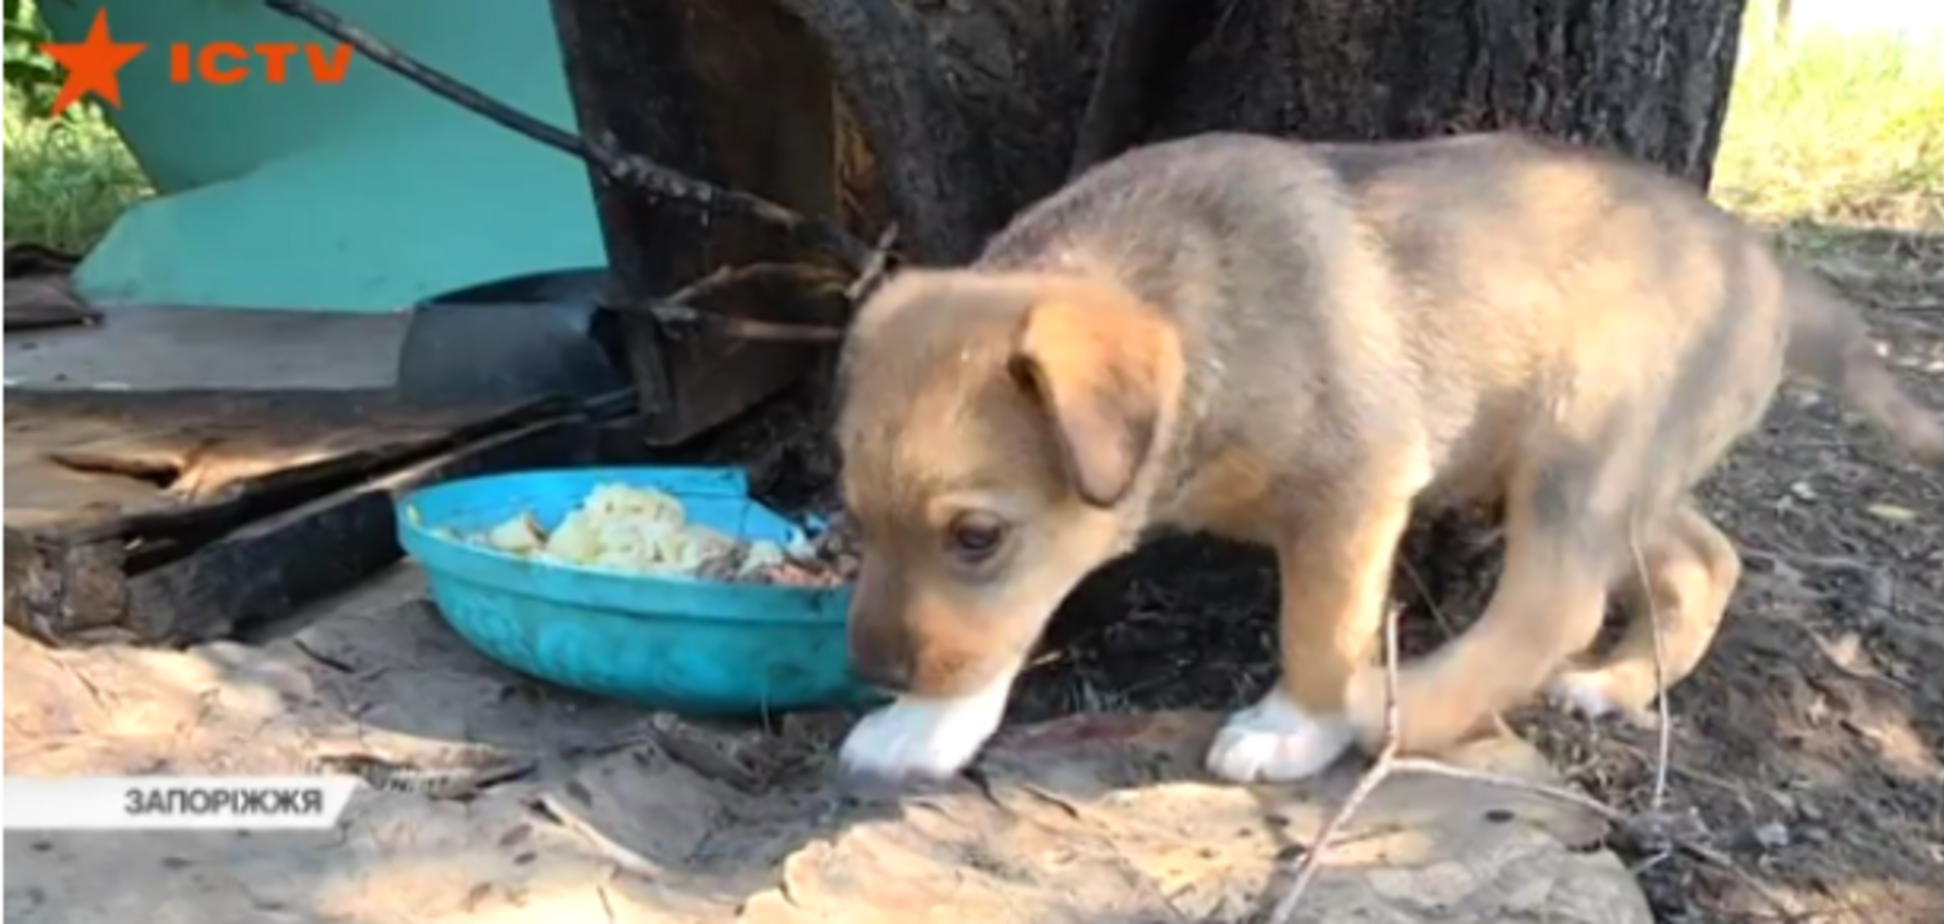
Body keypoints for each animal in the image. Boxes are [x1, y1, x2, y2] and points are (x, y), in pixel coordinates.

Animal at [832, 130, 1944, 785]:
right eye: (854, 520)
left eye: (975, 535)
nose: (872, 671)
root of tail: (1768, 270)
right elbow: (1000, 631)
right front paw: (925, 726)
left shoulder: (1353, 492)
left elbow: (1318, 629)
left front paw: (1296, 726)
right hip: (1627, 471)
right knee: (1704, 559)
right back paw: (1623, 684)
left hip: (1580, 443)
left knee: (1559, 602)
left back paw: (1397, 708)